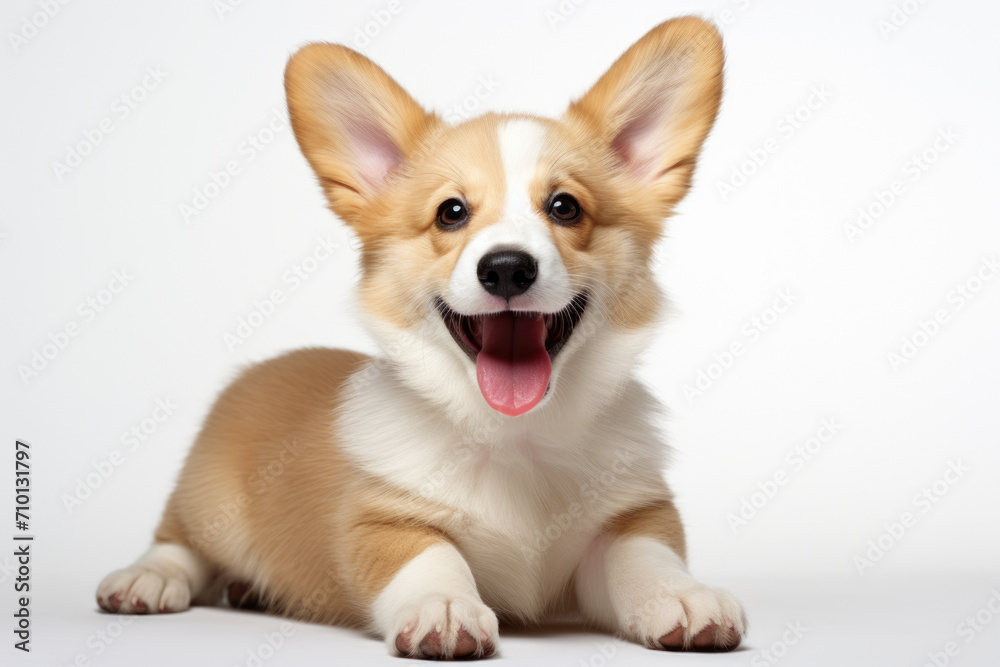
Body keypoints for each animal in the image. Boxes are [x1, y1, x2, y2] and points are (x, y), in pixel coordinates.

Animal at [97, 14, 748, 656]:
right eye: (451, 213)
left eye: (565, 207)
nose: (506, 267)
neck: (516, 437)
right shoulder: (380, 520)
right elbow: (429, 555)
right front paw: (446, 608)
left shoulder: (633, 514)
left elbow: (644, 554)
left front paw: (683, 596)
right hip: (207, 501)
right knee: (178, 540)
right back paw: (148, 580)